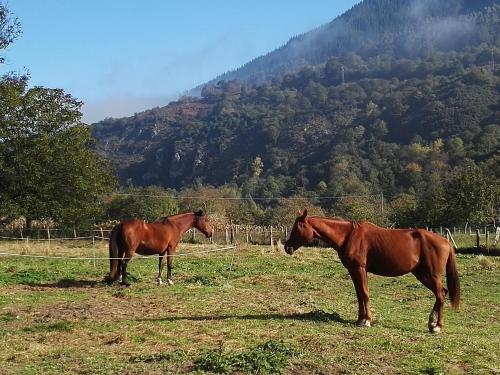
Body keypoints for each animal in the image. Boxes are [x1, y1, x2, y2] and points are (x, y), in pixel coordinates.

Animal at [286, 209, 460, 334]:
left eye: (298, 227)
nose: (287, 247)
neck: (348, 235)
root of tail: (445, 242)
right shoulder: (353, 271)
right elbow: (359, 295)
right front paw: (359, 320)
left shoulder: (360, 269)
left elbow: (365, 293)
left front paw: (367, 320)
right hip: (422, 274)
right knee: (441, 293)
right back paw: (431, 322)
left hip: (431, 274)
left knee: (440, 294)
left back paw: (437, 326)